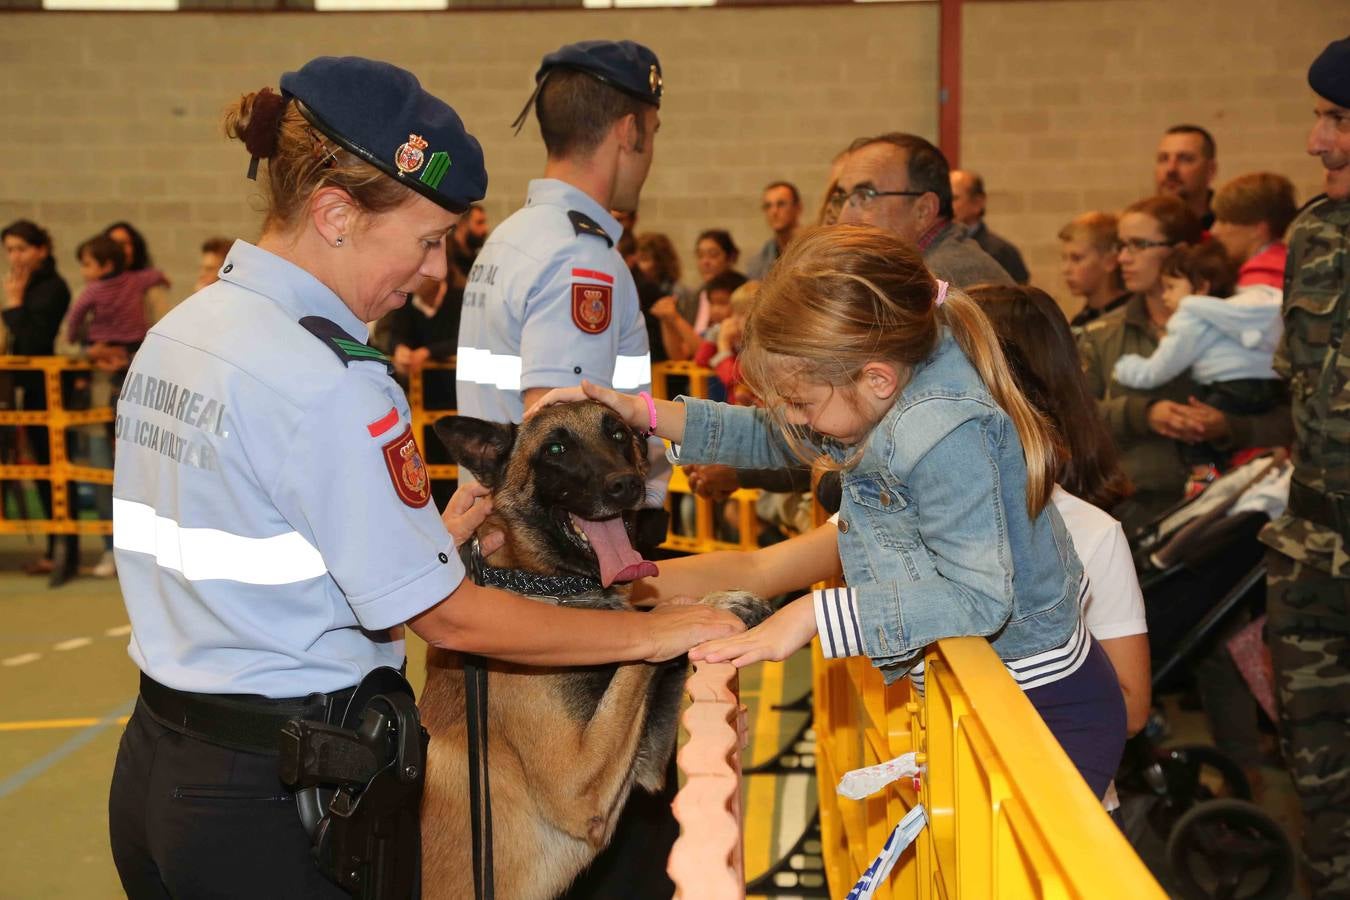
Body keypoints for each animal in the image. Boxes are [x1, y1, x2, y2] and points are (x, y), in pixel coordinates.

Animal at [415, 402, 766, 900]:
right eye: (555, 450)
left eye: (618, 434)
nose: (626, 485)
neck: (540, 584)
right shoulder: (578, 783)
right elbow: (646, 635)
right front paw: (703, 608)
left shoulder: (644, 766)